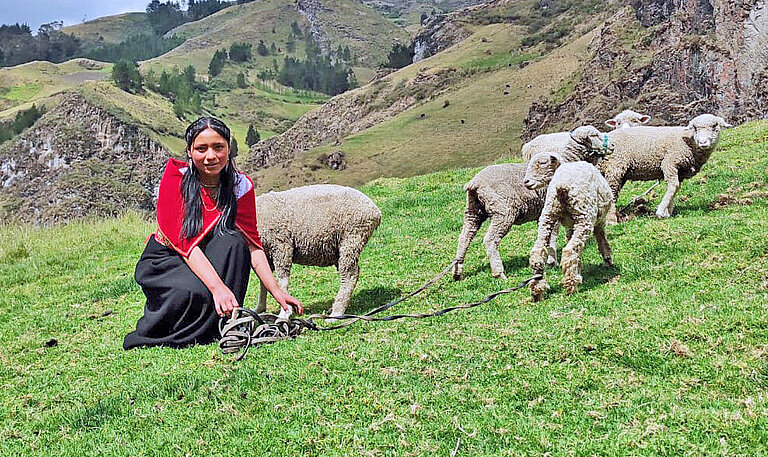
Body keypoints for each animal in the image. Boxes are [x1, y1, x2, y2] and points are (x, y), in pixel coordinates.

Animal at [255, 183, 380, 316]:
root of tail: (376, 211)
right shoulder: (266, 253)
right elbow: (264, 281)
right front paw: (260, 308)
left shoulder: (281, 245)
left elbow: (282, 280)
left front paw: (285, 312)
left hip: (352, 237)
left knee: (349, 275)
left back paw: (337, 312)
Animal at [456, 124, 612, 282]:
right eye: (594, 135)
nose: (612, 146)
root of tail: (474, 183)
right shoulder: (551, 210)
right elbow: (553, 235)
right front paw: (552, 260)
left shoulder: (543, 213)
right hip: (503, 212)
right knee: (490, 240)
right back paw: (499, 272)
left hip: (473, 211)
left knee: (464, 237)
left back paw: (457, 271)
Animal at [524, 151, 616, 302]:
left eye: (542, 163)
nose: (526, 182)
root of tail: (561, 186)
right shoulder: (599, 220)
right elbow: (602, 239)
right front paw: (608, 260)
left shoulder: (570, 225)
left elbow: (571, 241)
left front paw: (578, 267)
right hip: (584, 216)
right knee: (569, 250)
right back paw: (571, 285)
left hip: (548, 215)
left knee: (537, 252)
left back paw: (537, 290)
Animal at [600, 112, 732, 219]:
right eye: (695, 128)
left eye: (715, 127)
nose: (703, 142)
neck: (689, 142)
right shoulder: (669, 162)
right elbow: (673, 186)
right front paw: (661, 211)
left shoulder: (680, 171)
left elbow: (676, 187)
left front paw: (668, 211)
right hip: (615, 165)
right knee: (611, 191)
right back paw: (611, 219)